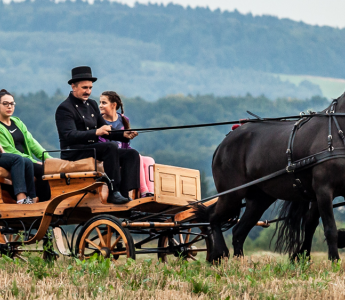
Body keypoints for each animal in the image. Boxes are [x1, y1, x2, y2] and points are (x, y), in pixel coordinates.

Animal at [198, 94, 344, 262]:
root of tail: (225, 141)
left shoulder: (319, 194)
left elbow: (310, 224)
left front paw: (301, 256)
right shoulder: (323, 190)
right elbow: (330, 229)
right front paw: (334, 260)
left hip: (259, 199)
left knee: (238, 231)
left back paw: (239, 261)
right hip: (232, 194)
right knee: (212, 216)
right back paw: (219, 254)